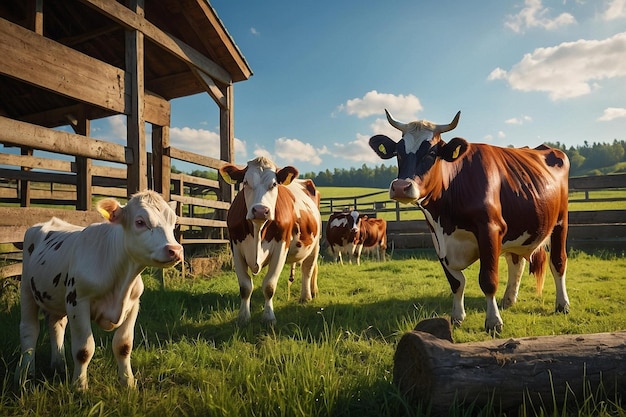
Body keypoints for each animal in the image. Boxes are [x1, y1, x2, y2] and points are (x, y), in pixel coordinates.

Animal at [14, 190, 183, 388]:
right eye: (140, 222)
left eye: (173, 222)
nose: (175, 250)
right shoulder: (78, 301)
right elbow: (84, 349)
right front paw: (79, 386)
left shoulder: (134, 305)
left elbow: (124, 346)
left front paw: (128, 382)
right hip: (26, 289)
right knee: (29, 330)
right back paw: (25, 373)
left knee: (56, 325)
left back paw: (58, 365)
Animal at [217, 156, 320, 324]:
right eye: (245, 182)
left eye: (274, 184)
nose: (260, 210)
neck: (257, 230)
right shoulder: (236, 248)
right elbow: (245, 287)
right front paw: (243, 317)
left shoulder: (281, 248)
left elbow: (269, 286)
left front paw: (269, 317)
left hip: (315, 245)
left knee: (308, 269)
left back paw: (306, 296)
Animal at [368, 110, 568, 332]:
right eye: (398, 152)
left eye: (431, 153)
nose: (401, 187)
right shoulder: (437, 237)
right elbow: (456, 282)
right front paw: (457, 316)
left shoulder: (490, 230)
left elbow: (488, 280)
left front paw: (493, 321)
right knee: (516, 263)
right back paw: (508, 300)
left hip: (560, 223)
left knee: (558, 262)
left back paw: (562, 304)